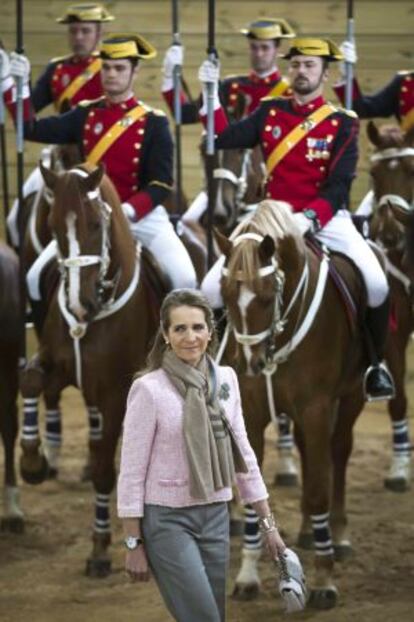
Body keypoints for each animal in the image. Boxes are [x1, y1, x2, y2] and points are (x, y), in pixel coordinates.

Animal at [20, 163, 161, 576]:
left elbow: (103, 472)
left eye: (96, 225)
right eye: (52, 227)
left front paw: (99, 549)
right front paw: (32, 462)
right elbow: (30, 379)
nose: (78, 305)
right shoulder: (58, 365)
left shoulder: (116, 394)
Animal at [215, 202, 368, 612]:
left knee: (338, 454)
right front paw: (247, 576)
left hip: (351, 396)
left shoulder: (316, 409)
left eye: (268, 296)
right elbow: (254, 493)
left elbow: (317, 488)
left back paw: (338, 535)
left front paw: (324, 580)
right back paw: (308, 530)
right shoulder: (251, 414)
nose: (249, 364)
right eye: (225, 292)